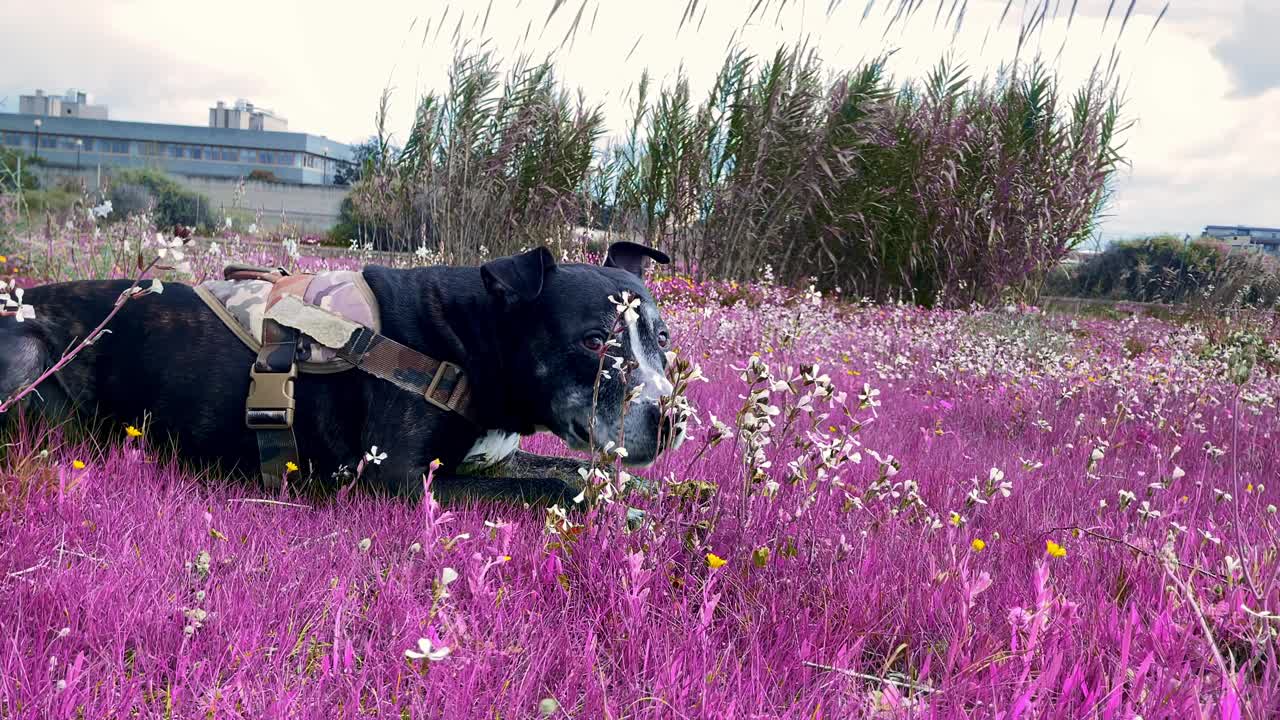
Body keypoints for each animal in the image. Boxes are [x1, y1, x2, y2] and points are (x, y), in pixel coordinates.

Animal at [0, 240, 680, 504]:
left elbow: (569, 469)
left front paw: (663, 495)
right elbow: (554, 486)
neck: (472, 340)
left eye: (663, 338)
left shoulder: (491, 458)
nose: (671, 421)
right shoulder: (399, 477)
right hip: (30, 353)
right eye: (595, 342)